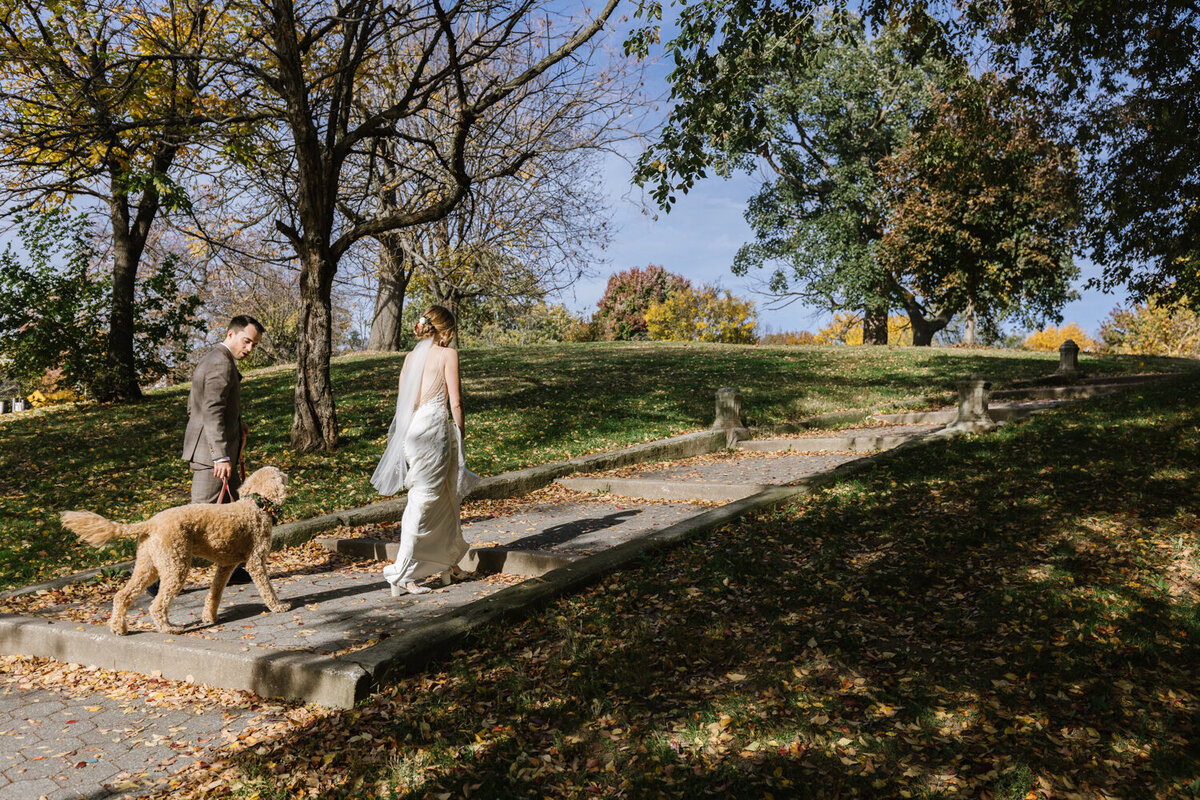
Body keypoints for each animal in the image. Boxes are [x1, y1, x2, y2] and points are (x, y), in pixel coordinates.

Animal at [61, 465, 292, 633]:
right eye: (280, 475)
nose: (287, 475)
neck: (257, 505)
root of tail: (150, 523)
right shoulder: (256, 562)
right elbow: (267, 589)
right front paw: (278, 607)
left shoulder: (225, 566)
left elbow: (214, 593)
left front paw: (209, 616)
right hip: (176, 566)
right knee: (157, 605)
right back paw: (169, 628)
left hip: (148, 566)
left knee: (122, 596)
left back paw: (119, 628)